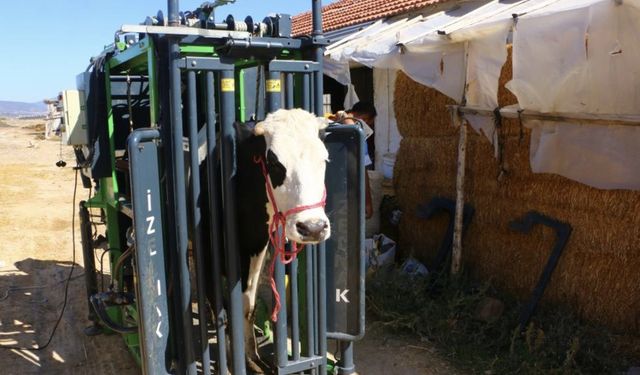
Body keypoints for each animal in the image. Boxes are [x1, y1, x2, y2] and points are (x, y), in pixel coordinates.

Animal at [209, 108, 332, 374]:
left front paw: (252, 358)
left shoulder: (255, 246)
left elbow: (247, 304)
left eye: (325, 160)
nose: (313, 227)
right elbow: (221, 304)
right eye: (275, 163)